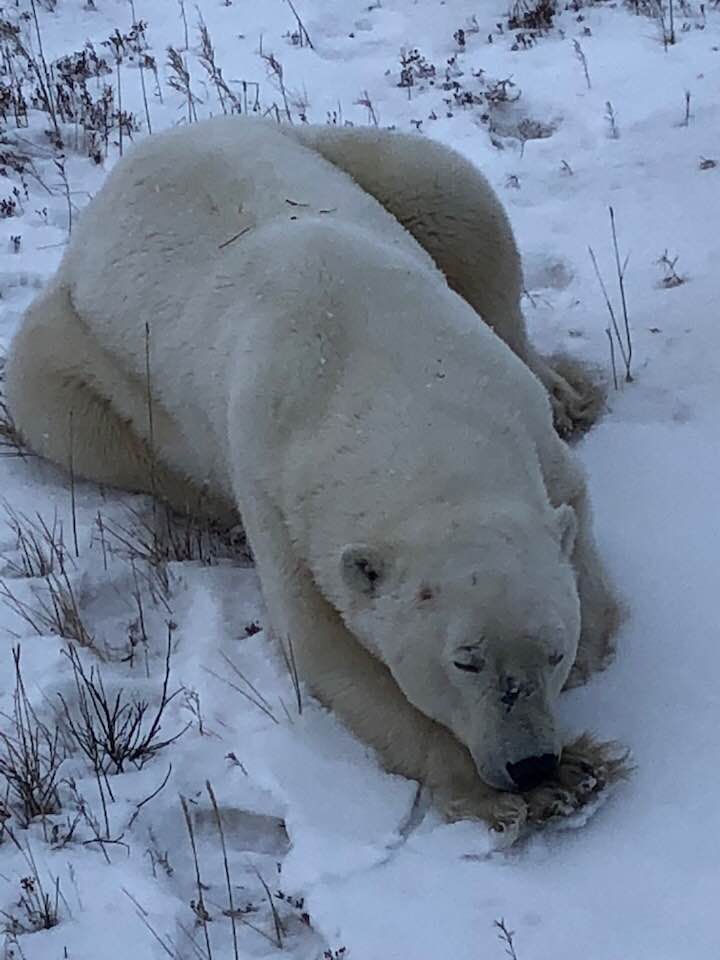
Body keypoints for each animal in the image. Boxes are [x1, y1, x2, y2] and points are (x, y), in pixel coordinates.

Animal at [4, 116, 621, 839]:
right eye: (463, 659)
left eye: (551, 650)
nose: (530, 763)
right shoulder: (274, 480)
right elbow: (323, 645)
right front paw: (525, 788)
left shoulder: (516, 423)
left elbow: (577, 532)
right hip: (76, 349)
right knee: (70, 417)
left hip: (332, 148)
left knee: (456, 197)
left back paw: (567, 393)